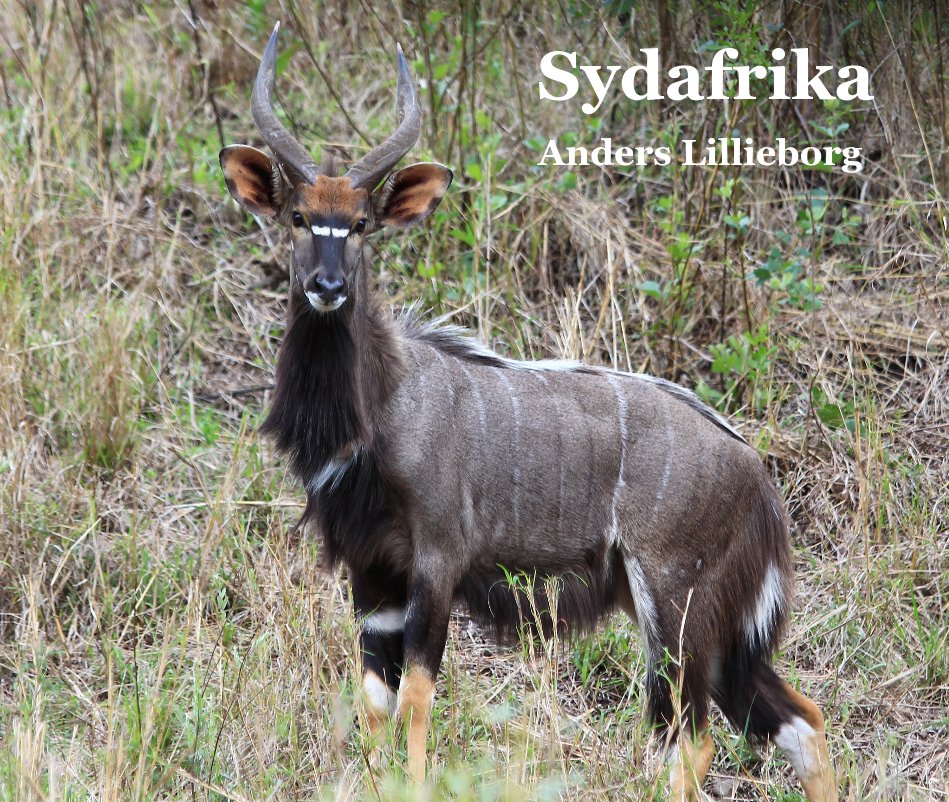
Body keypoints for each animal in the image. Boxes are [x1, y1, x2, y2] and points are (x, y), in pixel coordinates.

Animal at [220, 25, 836, 800]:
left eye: (360, 224)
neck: (382, 406)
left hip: (675, 605)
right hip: (716, 631)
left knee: (691, 740)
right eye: (300, 217)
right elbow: (374, 700)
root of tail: (757, 476)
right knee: (799, 719)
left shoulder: (438, 561)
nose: (327, 287)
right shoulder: (372, 572)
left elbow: (417, 695)